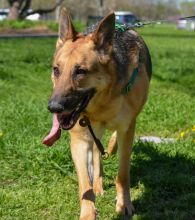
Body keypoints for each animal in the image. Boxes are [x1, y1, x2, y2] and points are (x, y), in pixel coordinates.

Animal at [43, 7, 152, 219]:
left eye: (80, 71)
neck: (103, 102)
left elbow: (122, 174)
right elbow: (84, 184)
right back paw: (98, 184)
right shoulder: (79, 140)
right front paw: (88, 212)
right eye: (56, 70)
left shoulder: (128, 128)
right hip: (92, 133)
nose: (54, 108)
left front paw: (124, 204)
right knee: (95, 153)